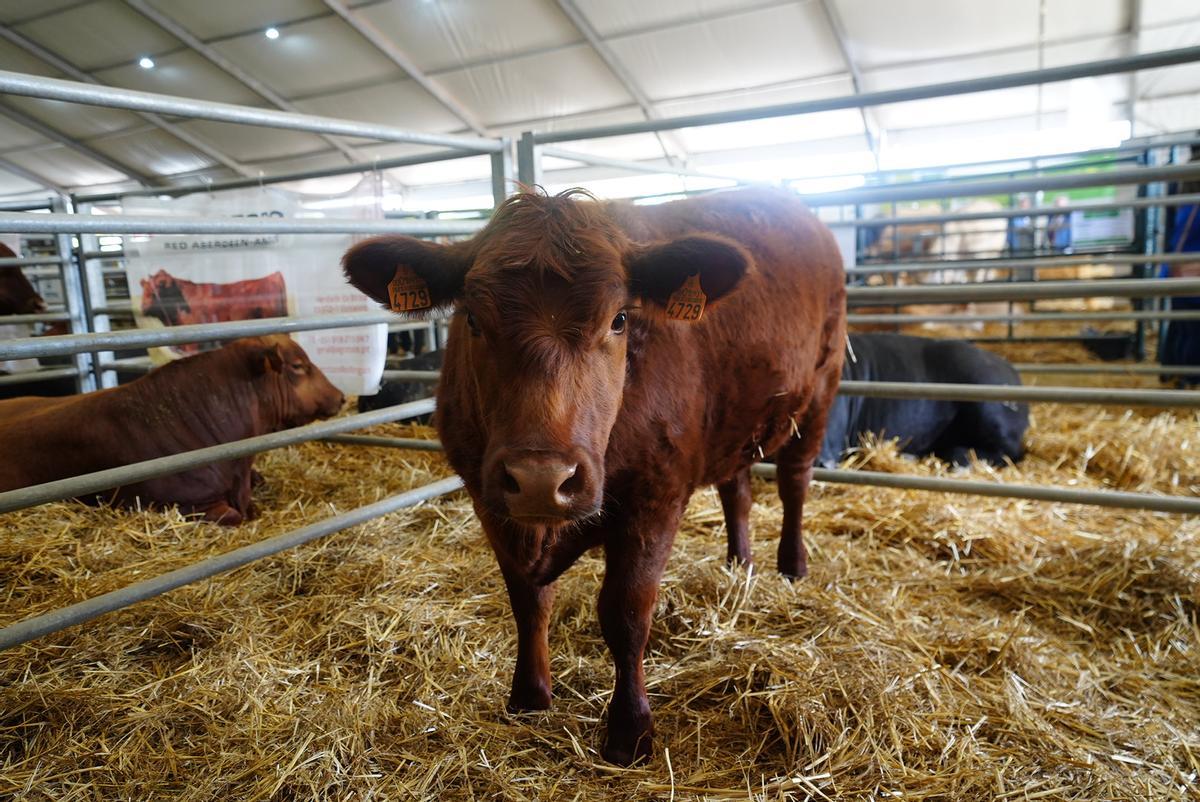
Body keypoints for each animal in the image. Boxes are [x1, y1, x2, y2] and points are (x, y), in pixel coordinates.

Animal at [340, 186, 844, 763]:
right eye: (472, 321)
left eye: (620, 319)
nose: (541, 477)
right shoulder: (489, 500)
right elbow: (527, 601)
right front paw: (529, 696)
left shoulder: (655, 498)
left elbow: (626, 616)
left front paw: (630, 729)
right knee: (735, 489)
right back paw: (739, 563)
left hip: (820, 391)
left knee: (794, 482)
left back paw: (792, 564)